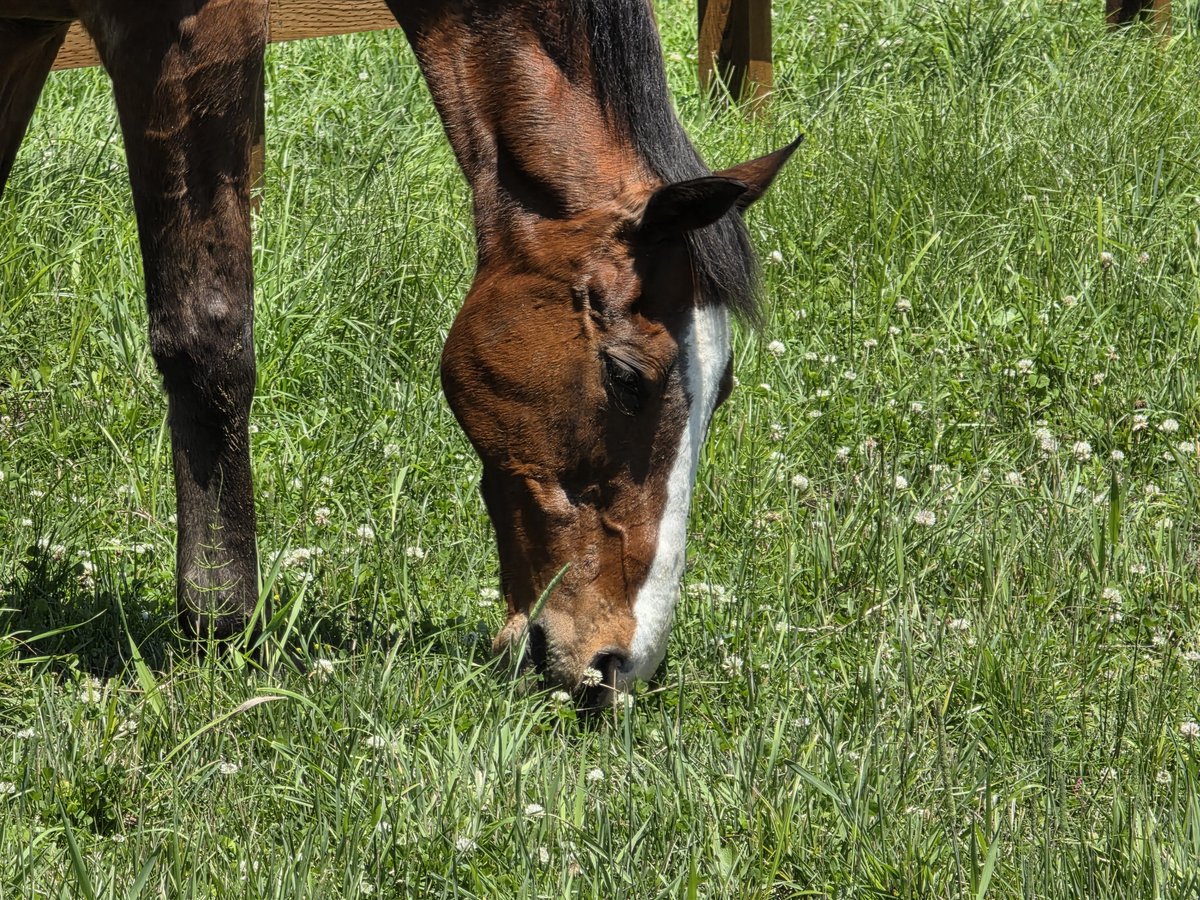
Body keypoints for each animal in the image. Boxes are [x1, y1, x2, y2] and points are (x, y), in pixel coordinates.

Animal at [0, 0, 798, 700]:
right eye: (629, 377)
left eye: (723, 389)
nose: (618, 666)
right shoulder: (184, 37)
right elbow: (210, 338)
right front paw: (222, 625)